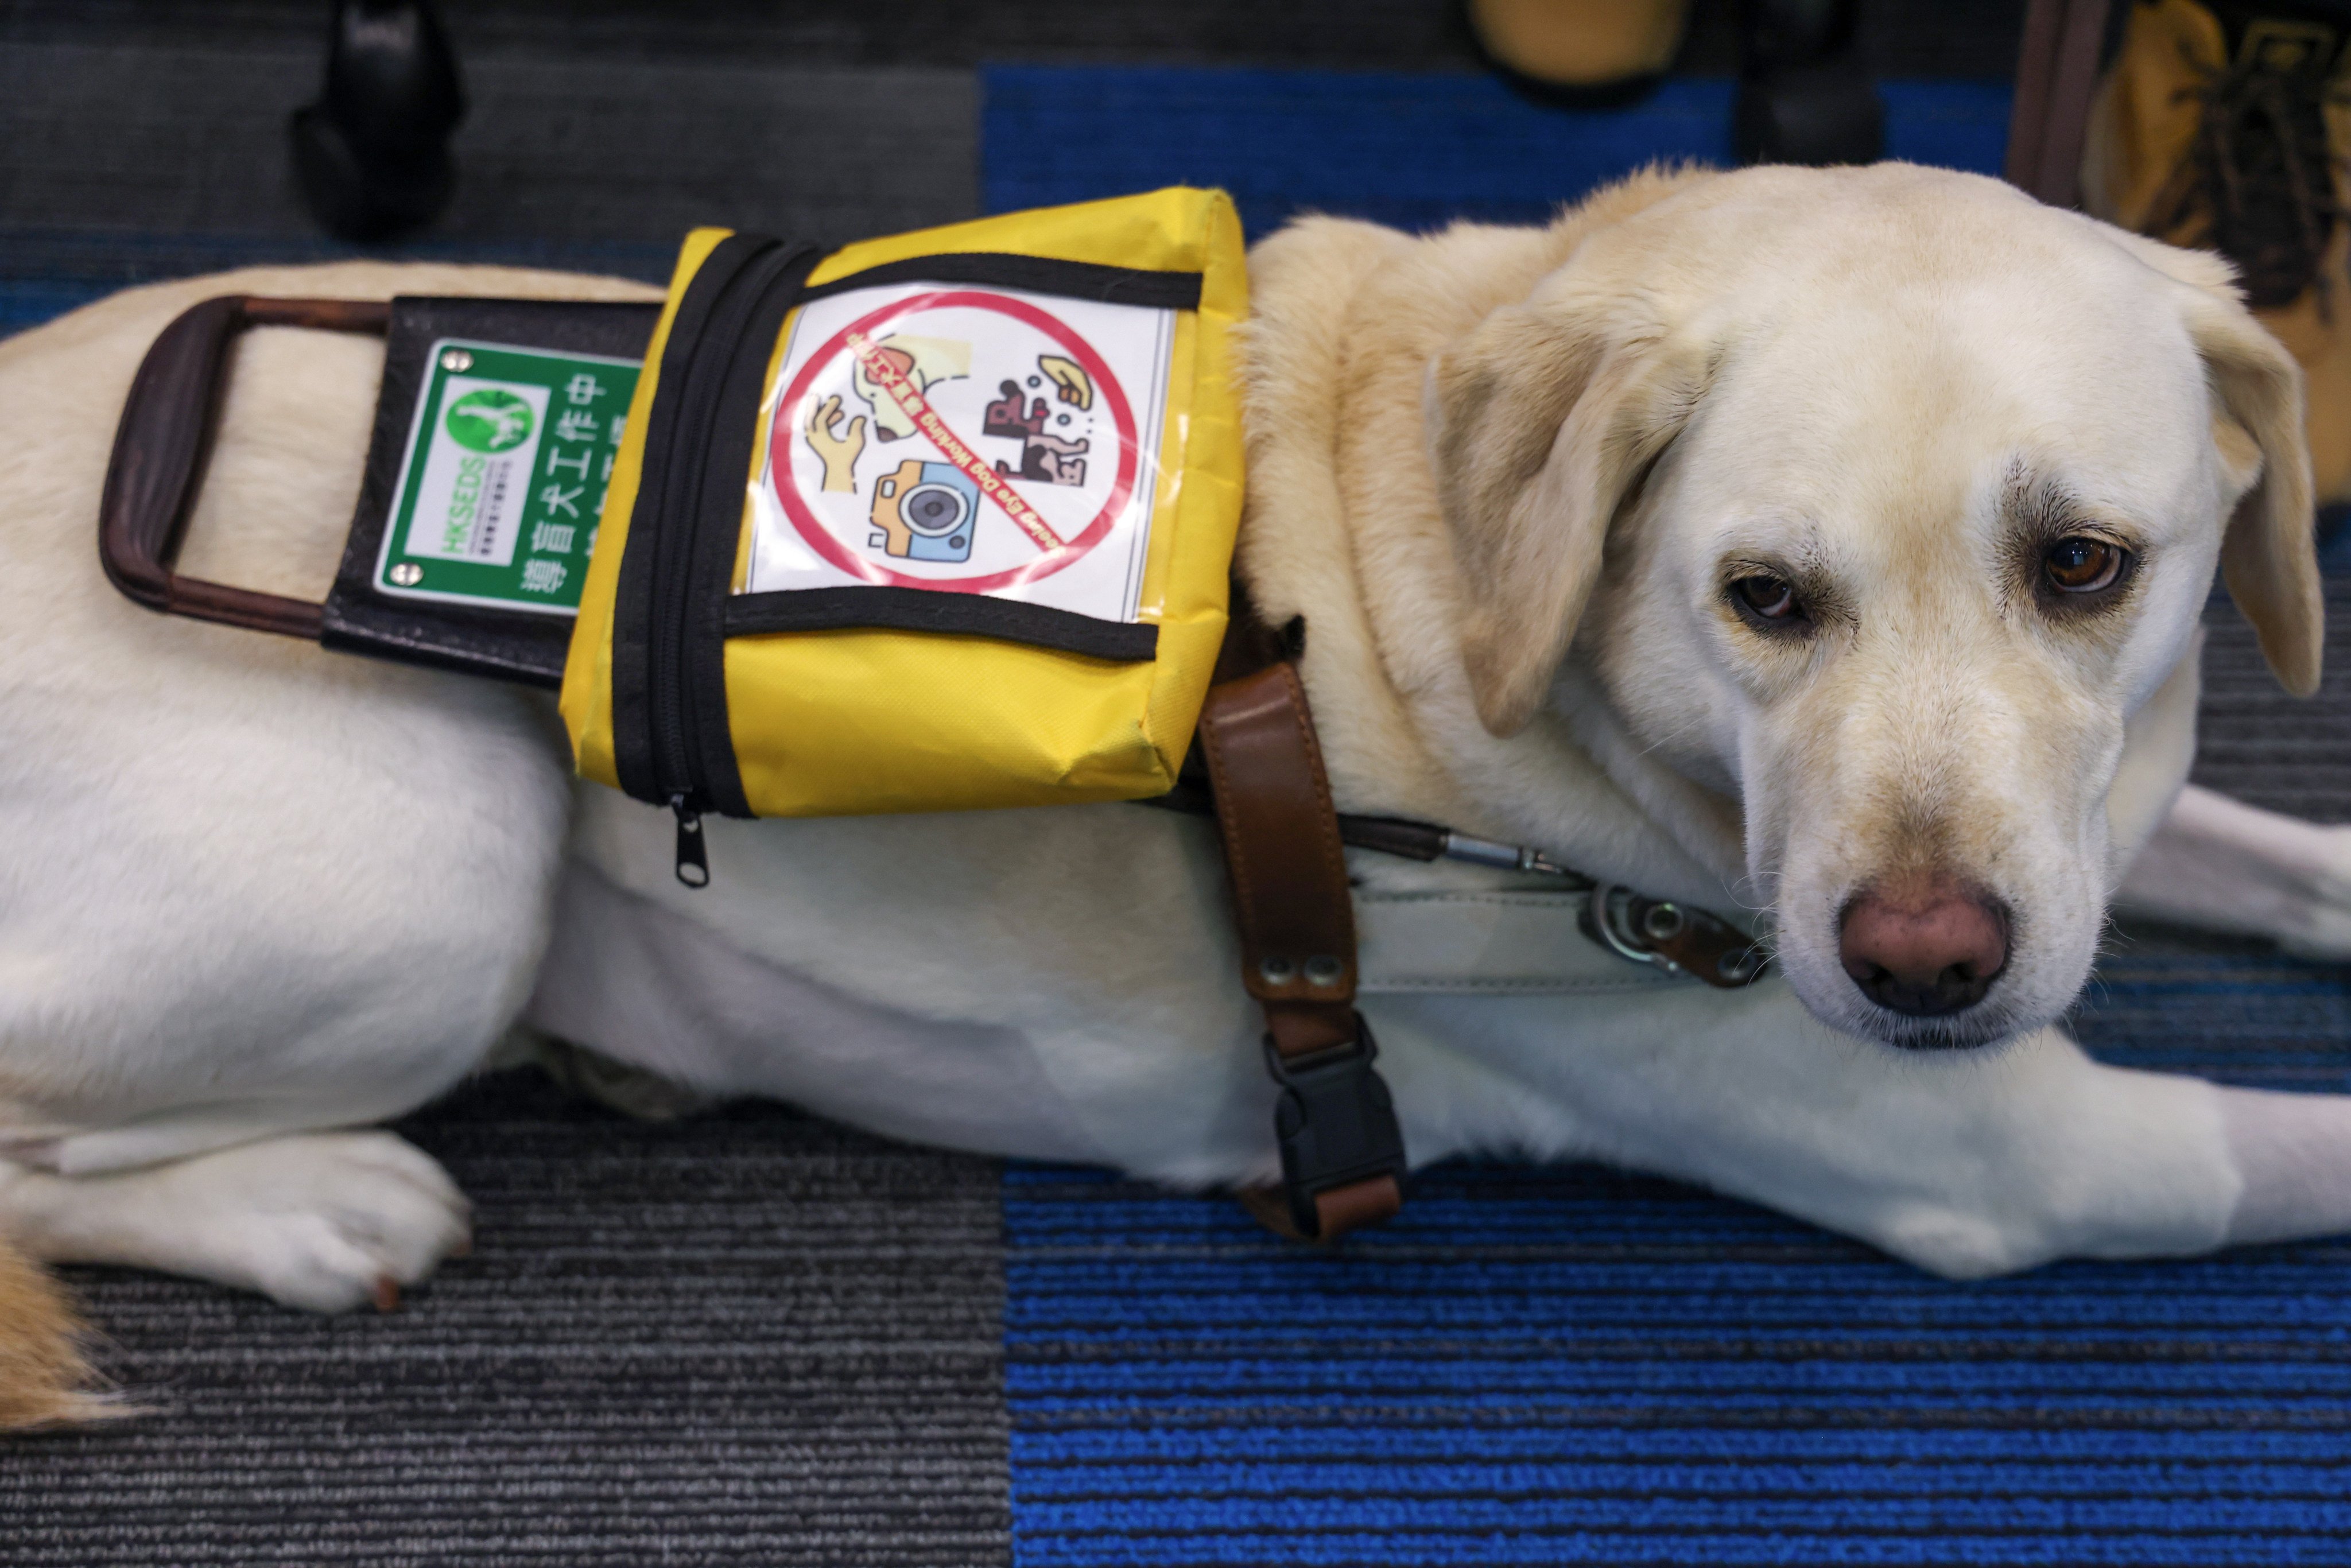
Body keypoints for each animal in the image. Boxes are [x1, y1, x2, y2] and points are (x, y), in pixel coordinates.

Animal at [5, 165, 2351, 1429]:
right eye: (1761, 597)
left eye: (2085, 566)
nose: (1922, 964)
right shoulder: (2014, 1152)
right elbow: (2292, 1146)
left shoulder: (2089, 850)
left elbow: (2268, 855)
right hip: (433, 869)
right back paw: (313, 1203)